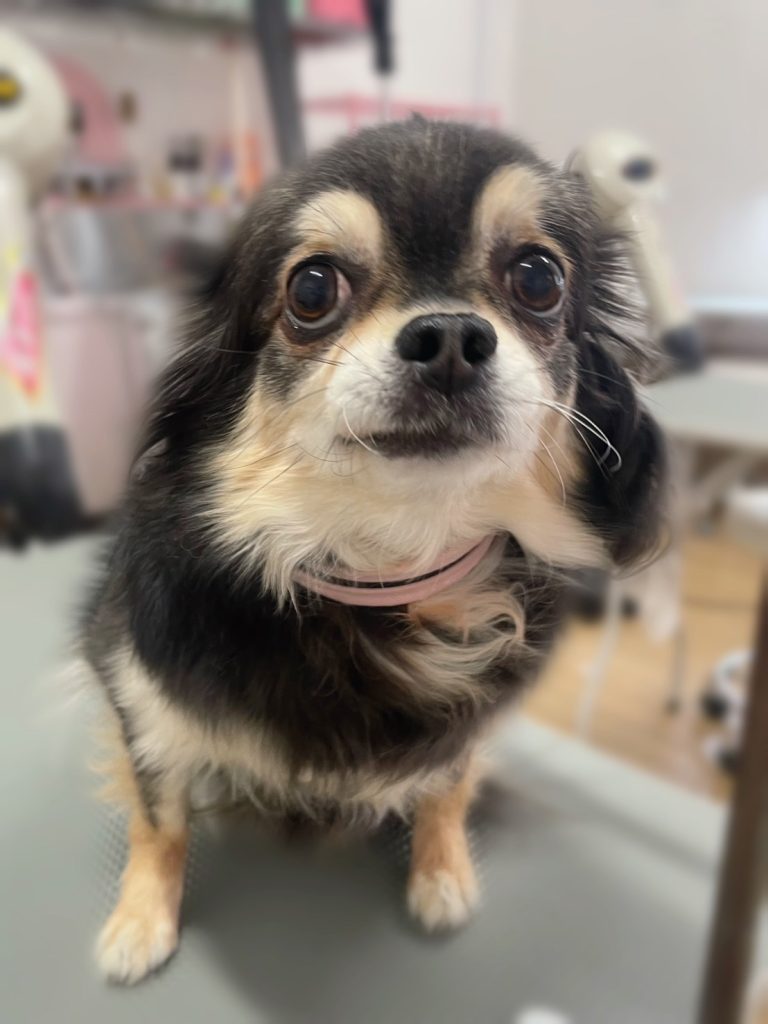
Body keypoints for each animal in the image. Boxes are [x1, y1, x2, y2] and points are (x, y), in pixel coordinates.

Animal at [81, 119, 665, 984]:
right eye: (312, 290)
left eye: (538, 278)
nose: (450, 335)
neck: (385, 565)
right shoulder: (146, 701)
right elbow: (160, 821)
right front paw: (141, 920)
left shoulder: (466, 730)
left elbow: (447, 788)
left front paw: (442, 872)